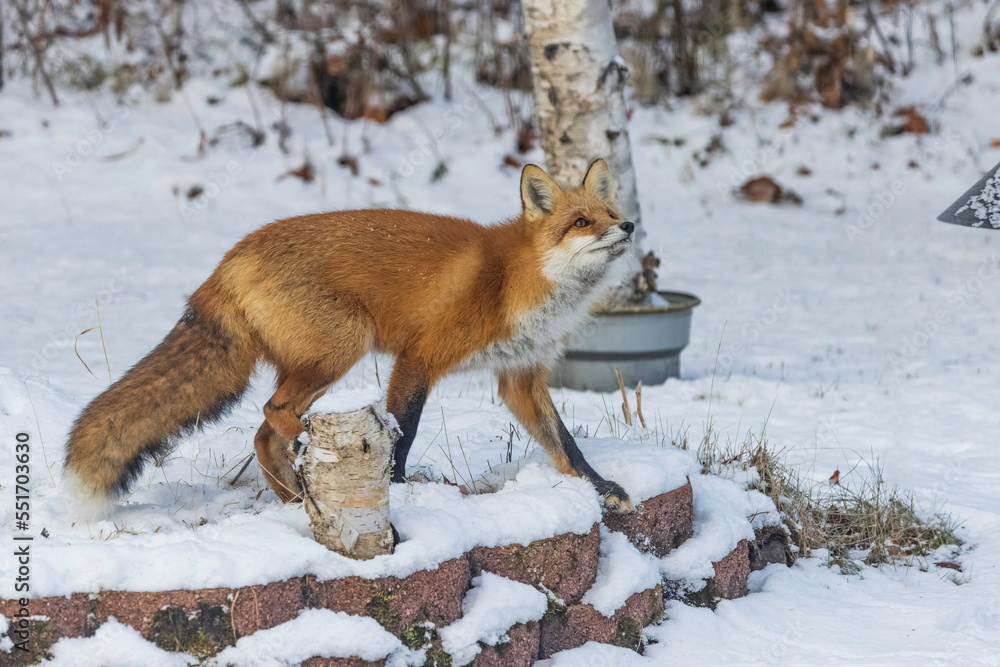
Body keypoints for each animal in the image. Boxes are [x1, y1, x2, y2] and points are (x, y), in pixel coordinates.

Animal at [64, 158, 636, 515]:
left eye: (609, 214)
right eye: (581, 222)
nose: (628, 226)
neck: (516, 280)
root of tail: (229, 259)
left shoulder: (520, 375)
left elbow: (564, 443)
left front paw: (602, 489)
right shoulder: (420, 357)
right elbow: (404, 431)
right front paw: (398, 489)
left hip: (319, 360)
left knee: (263, 433)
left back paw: (295, 498)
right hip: (345, 345)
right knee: (272, 412)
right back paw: (308, 455)